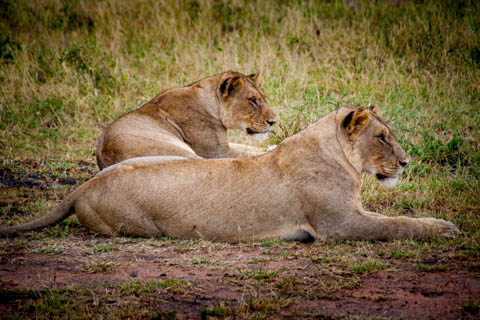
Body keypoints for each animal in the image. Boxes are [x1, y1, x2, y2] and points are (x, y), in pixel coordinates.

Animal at [0, 106, 460, 241]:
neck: (340, 156)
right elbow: (398, 224)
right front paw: (444, 228)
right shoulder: (339, 225)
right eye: (382, 137)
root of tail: (81, 187)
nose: (406, 162)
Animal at [95, 70, 278, 170]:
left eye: (263, 98)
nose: (274, 122)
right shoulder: (217, 151)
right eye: (252, 100)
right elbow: (249, 153)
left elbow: (250, 147)